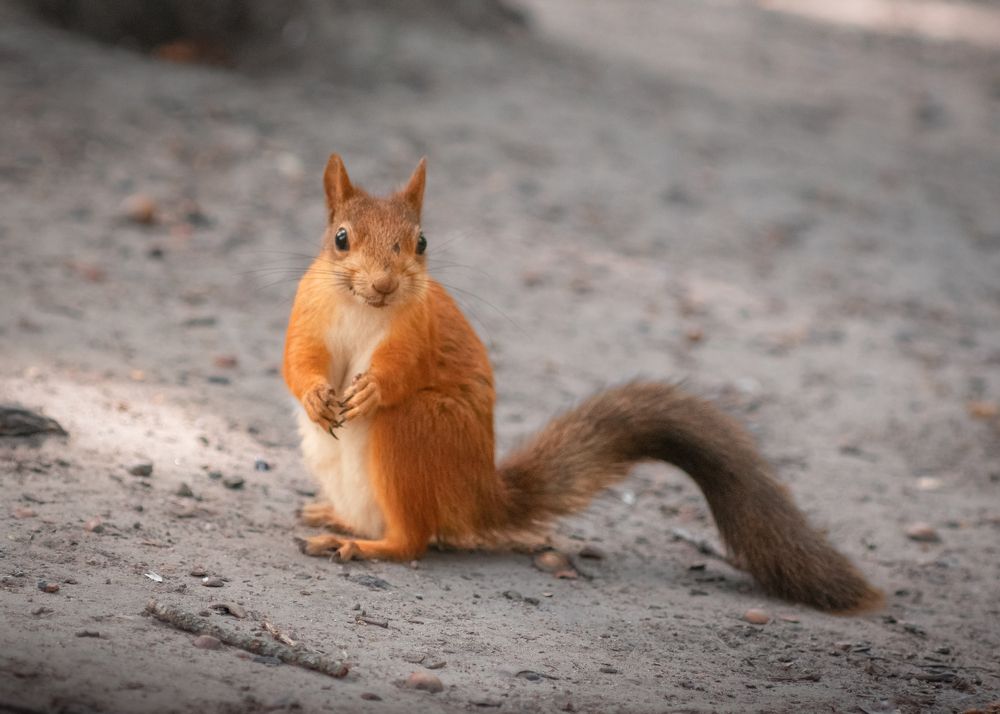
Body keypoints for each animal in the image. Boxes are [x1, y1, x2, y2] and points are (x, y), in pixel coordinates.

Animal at [282, 154, 884, 613]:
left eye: (422, 242)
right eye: (341, 239)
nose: (384, 285)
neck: (364, 309)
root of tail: (479, 496)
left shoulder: (418, 334)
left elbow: (401, 371)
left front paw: (371, 389)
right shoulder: (307, 315)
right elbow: (296, 363)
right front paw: (316, 395)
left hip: (414, 431)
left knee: (412, 541)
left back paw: (360, 546)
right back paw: (336, 517)